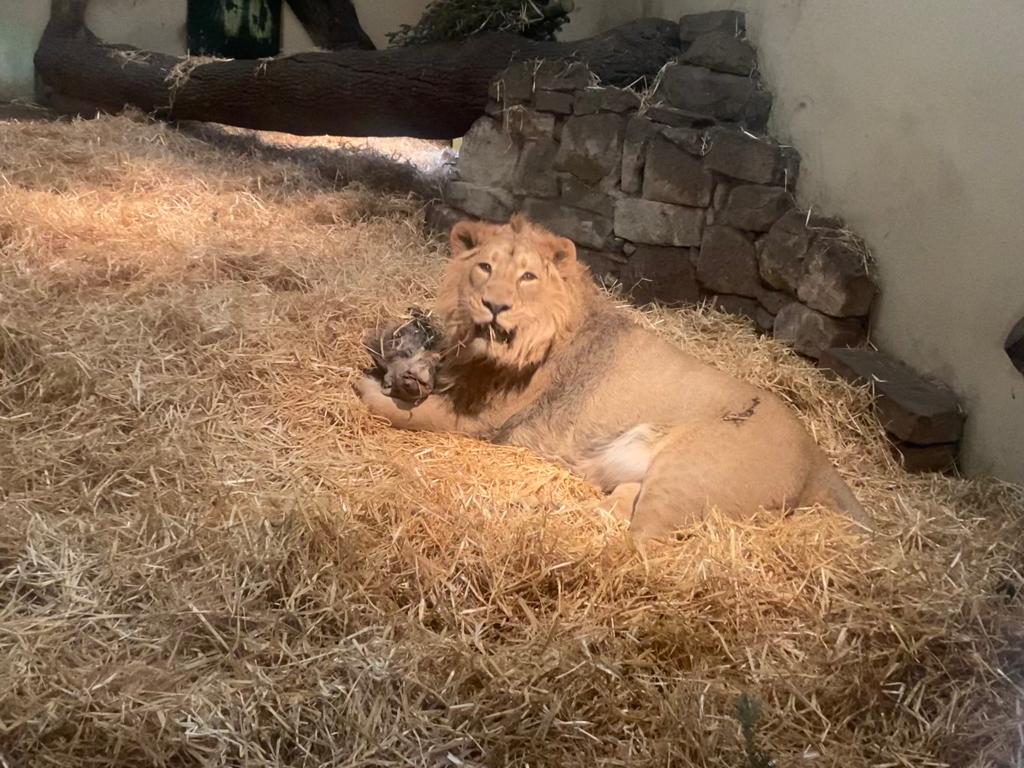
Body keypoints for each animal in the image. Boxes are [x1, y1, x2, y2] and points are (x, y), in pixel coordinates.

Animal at [354, 215, 868, 542]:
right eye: (485, 267)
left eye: (527, 277)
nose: (495, 306)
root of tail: (817, 456)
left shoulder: (478, 420)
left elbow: (408, 415)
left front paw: (366, 387)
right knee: (626, 498)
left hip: (689, 474)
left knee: (645, 546)